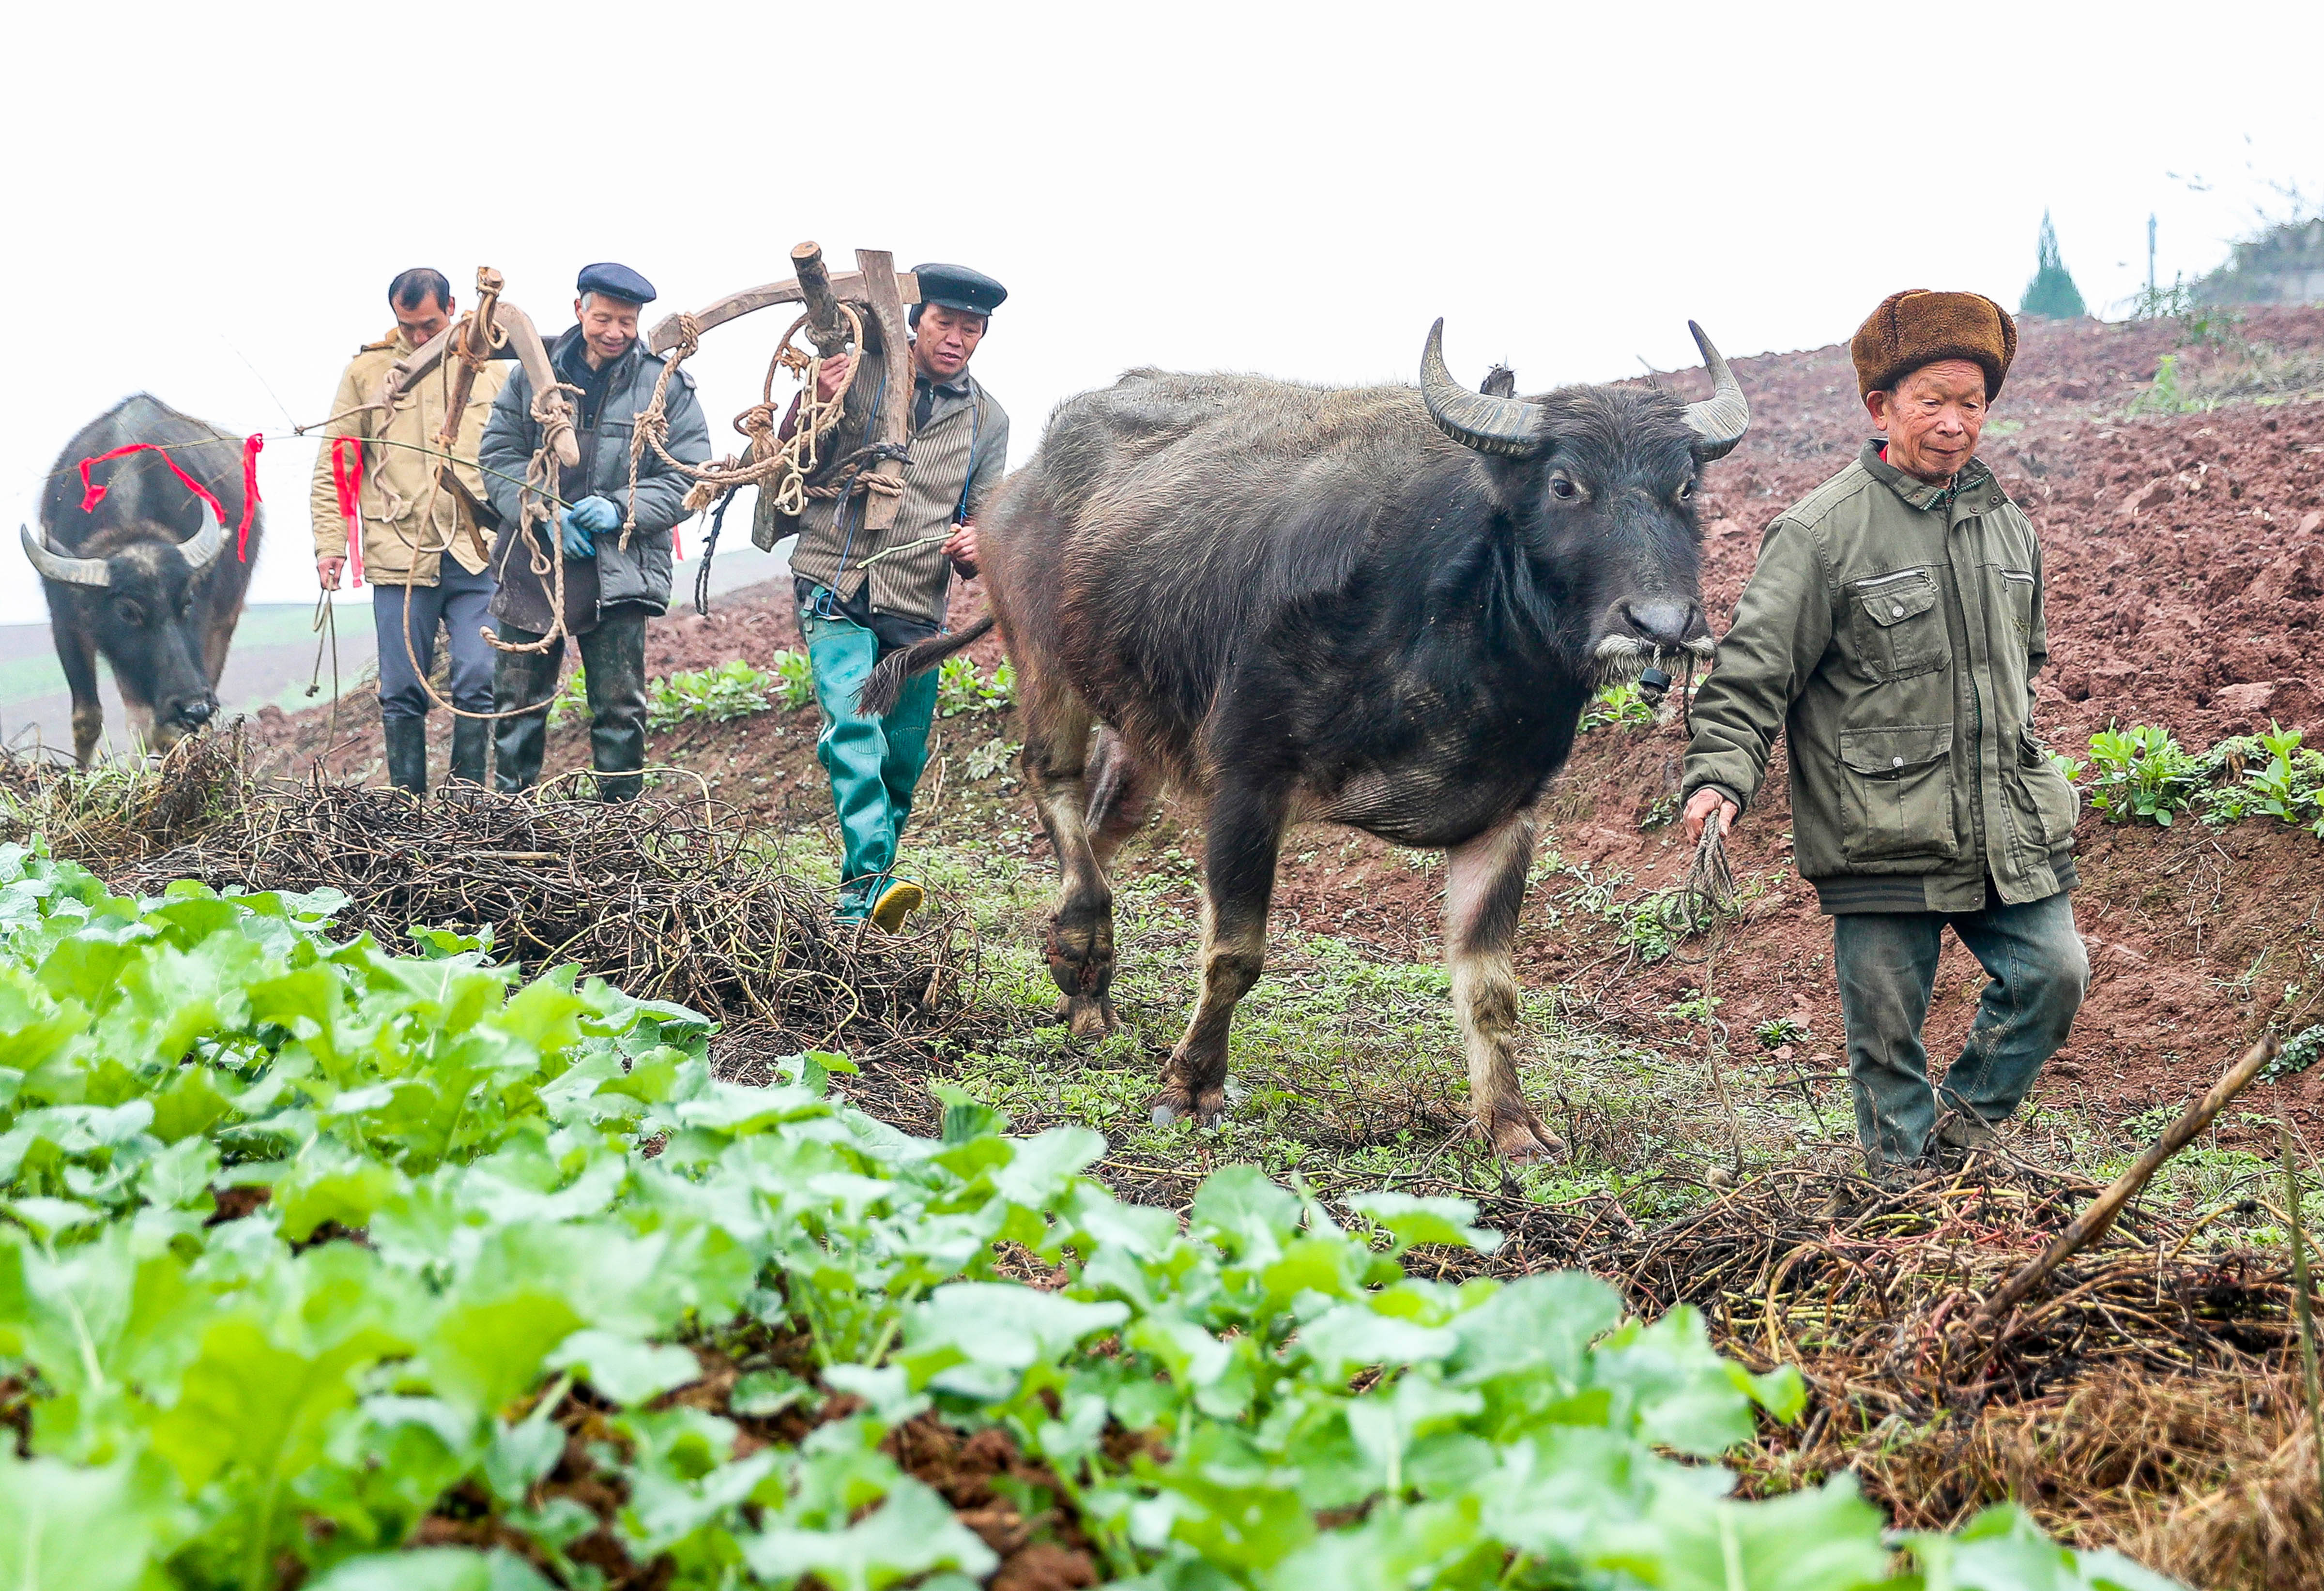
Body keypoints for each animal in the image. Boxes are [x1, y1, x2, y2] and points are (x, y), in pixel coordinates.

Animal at [26, 397, 261, 771]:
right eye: (127, 612)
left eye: (188, 601)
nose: (195, 706)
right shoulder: (65, 623)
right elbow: (87, 718)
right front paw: (82, 773)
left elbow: (162, 728)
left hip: (224, 625)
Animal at [869, 320, 1747, 1152]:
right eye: (1565, 484)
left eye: (1685, 487)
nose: (1664, 624)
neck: (1460, 639)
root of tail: (1017, 488)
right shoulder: (1249, 781)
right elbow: (1235, 953)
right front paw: (1192, 1086)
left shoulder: (1507, 817)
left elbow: (1491, 989)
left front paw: (1512, 1125)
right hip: (1043, 661)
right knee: (1051, 780)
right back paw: (1083, 948)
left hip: (1144, 723)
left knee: (1102, 821)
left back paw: (1085, 987)